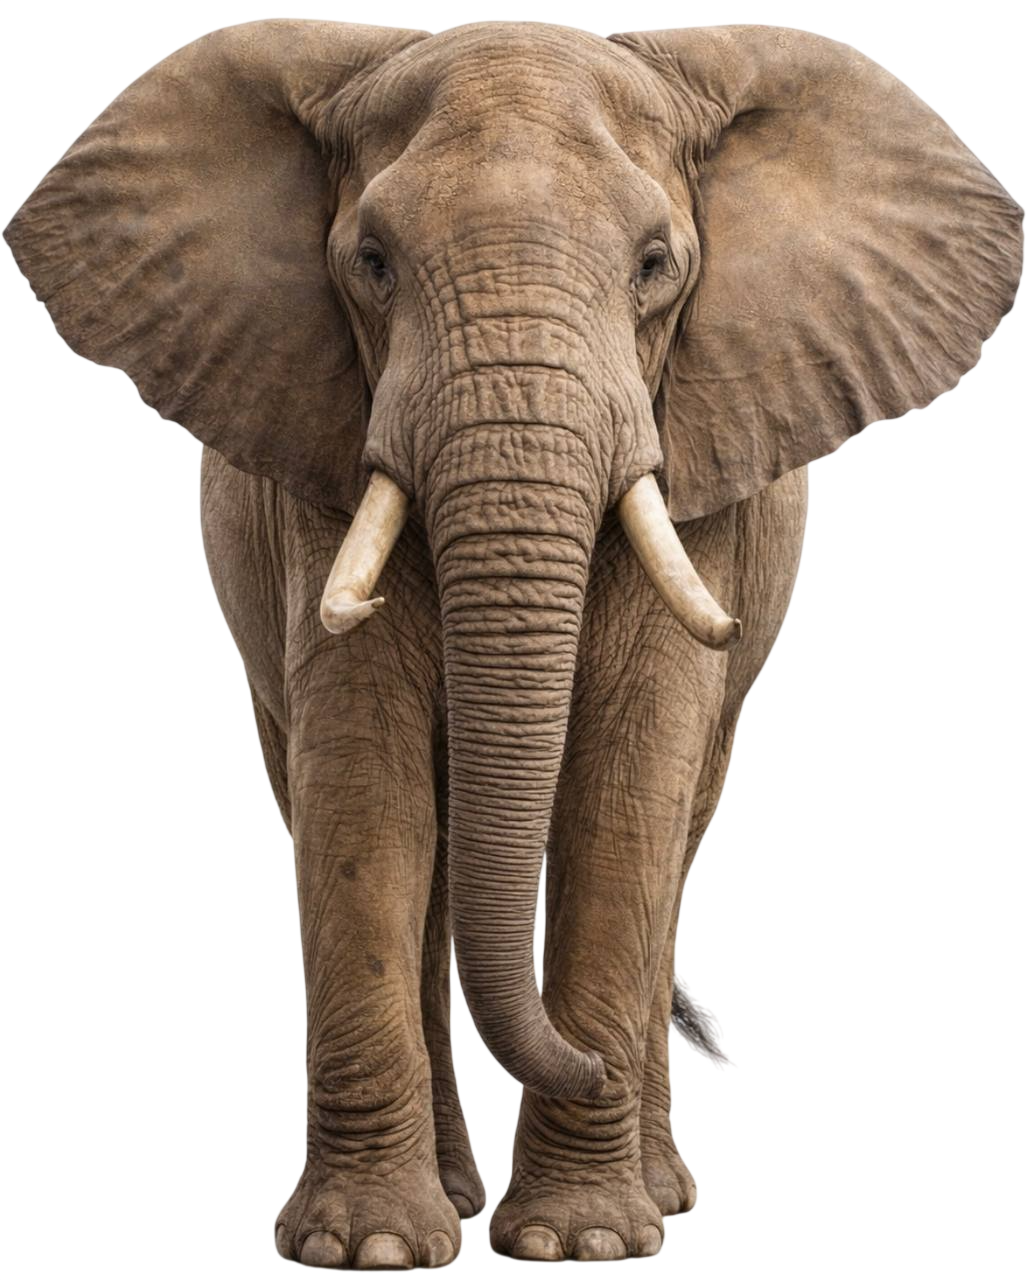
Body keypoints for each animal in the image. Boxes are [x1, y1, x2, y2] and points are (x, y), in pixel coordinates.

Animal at [4, 18, 1022, 1270]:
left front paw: (576, 1240)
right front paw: (368, 1249)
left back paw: (653, 1180)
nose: (704, 1036)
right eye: (370, 262)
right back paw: (454, 1187)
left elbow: (630, 780)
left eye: (655, 265)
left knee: (677, 830)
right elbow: (362, 780)